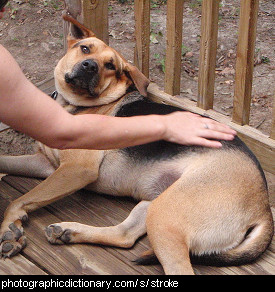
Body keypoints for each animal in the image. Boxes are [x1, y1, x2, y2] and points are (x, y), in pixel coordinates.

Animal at [0, 13, 274, 274]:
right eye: (85, 48)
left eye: (111, 65)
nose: (89, 66)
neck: (75, 106)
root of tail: (264, 208)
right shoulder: (46, 164)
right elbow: (9, 164)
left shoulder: (76, 170)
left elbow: (21, 199)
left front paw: (8, 228)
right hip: (155, 204)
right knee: (125, 237)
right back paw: (68, 232)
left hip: (164, 214)